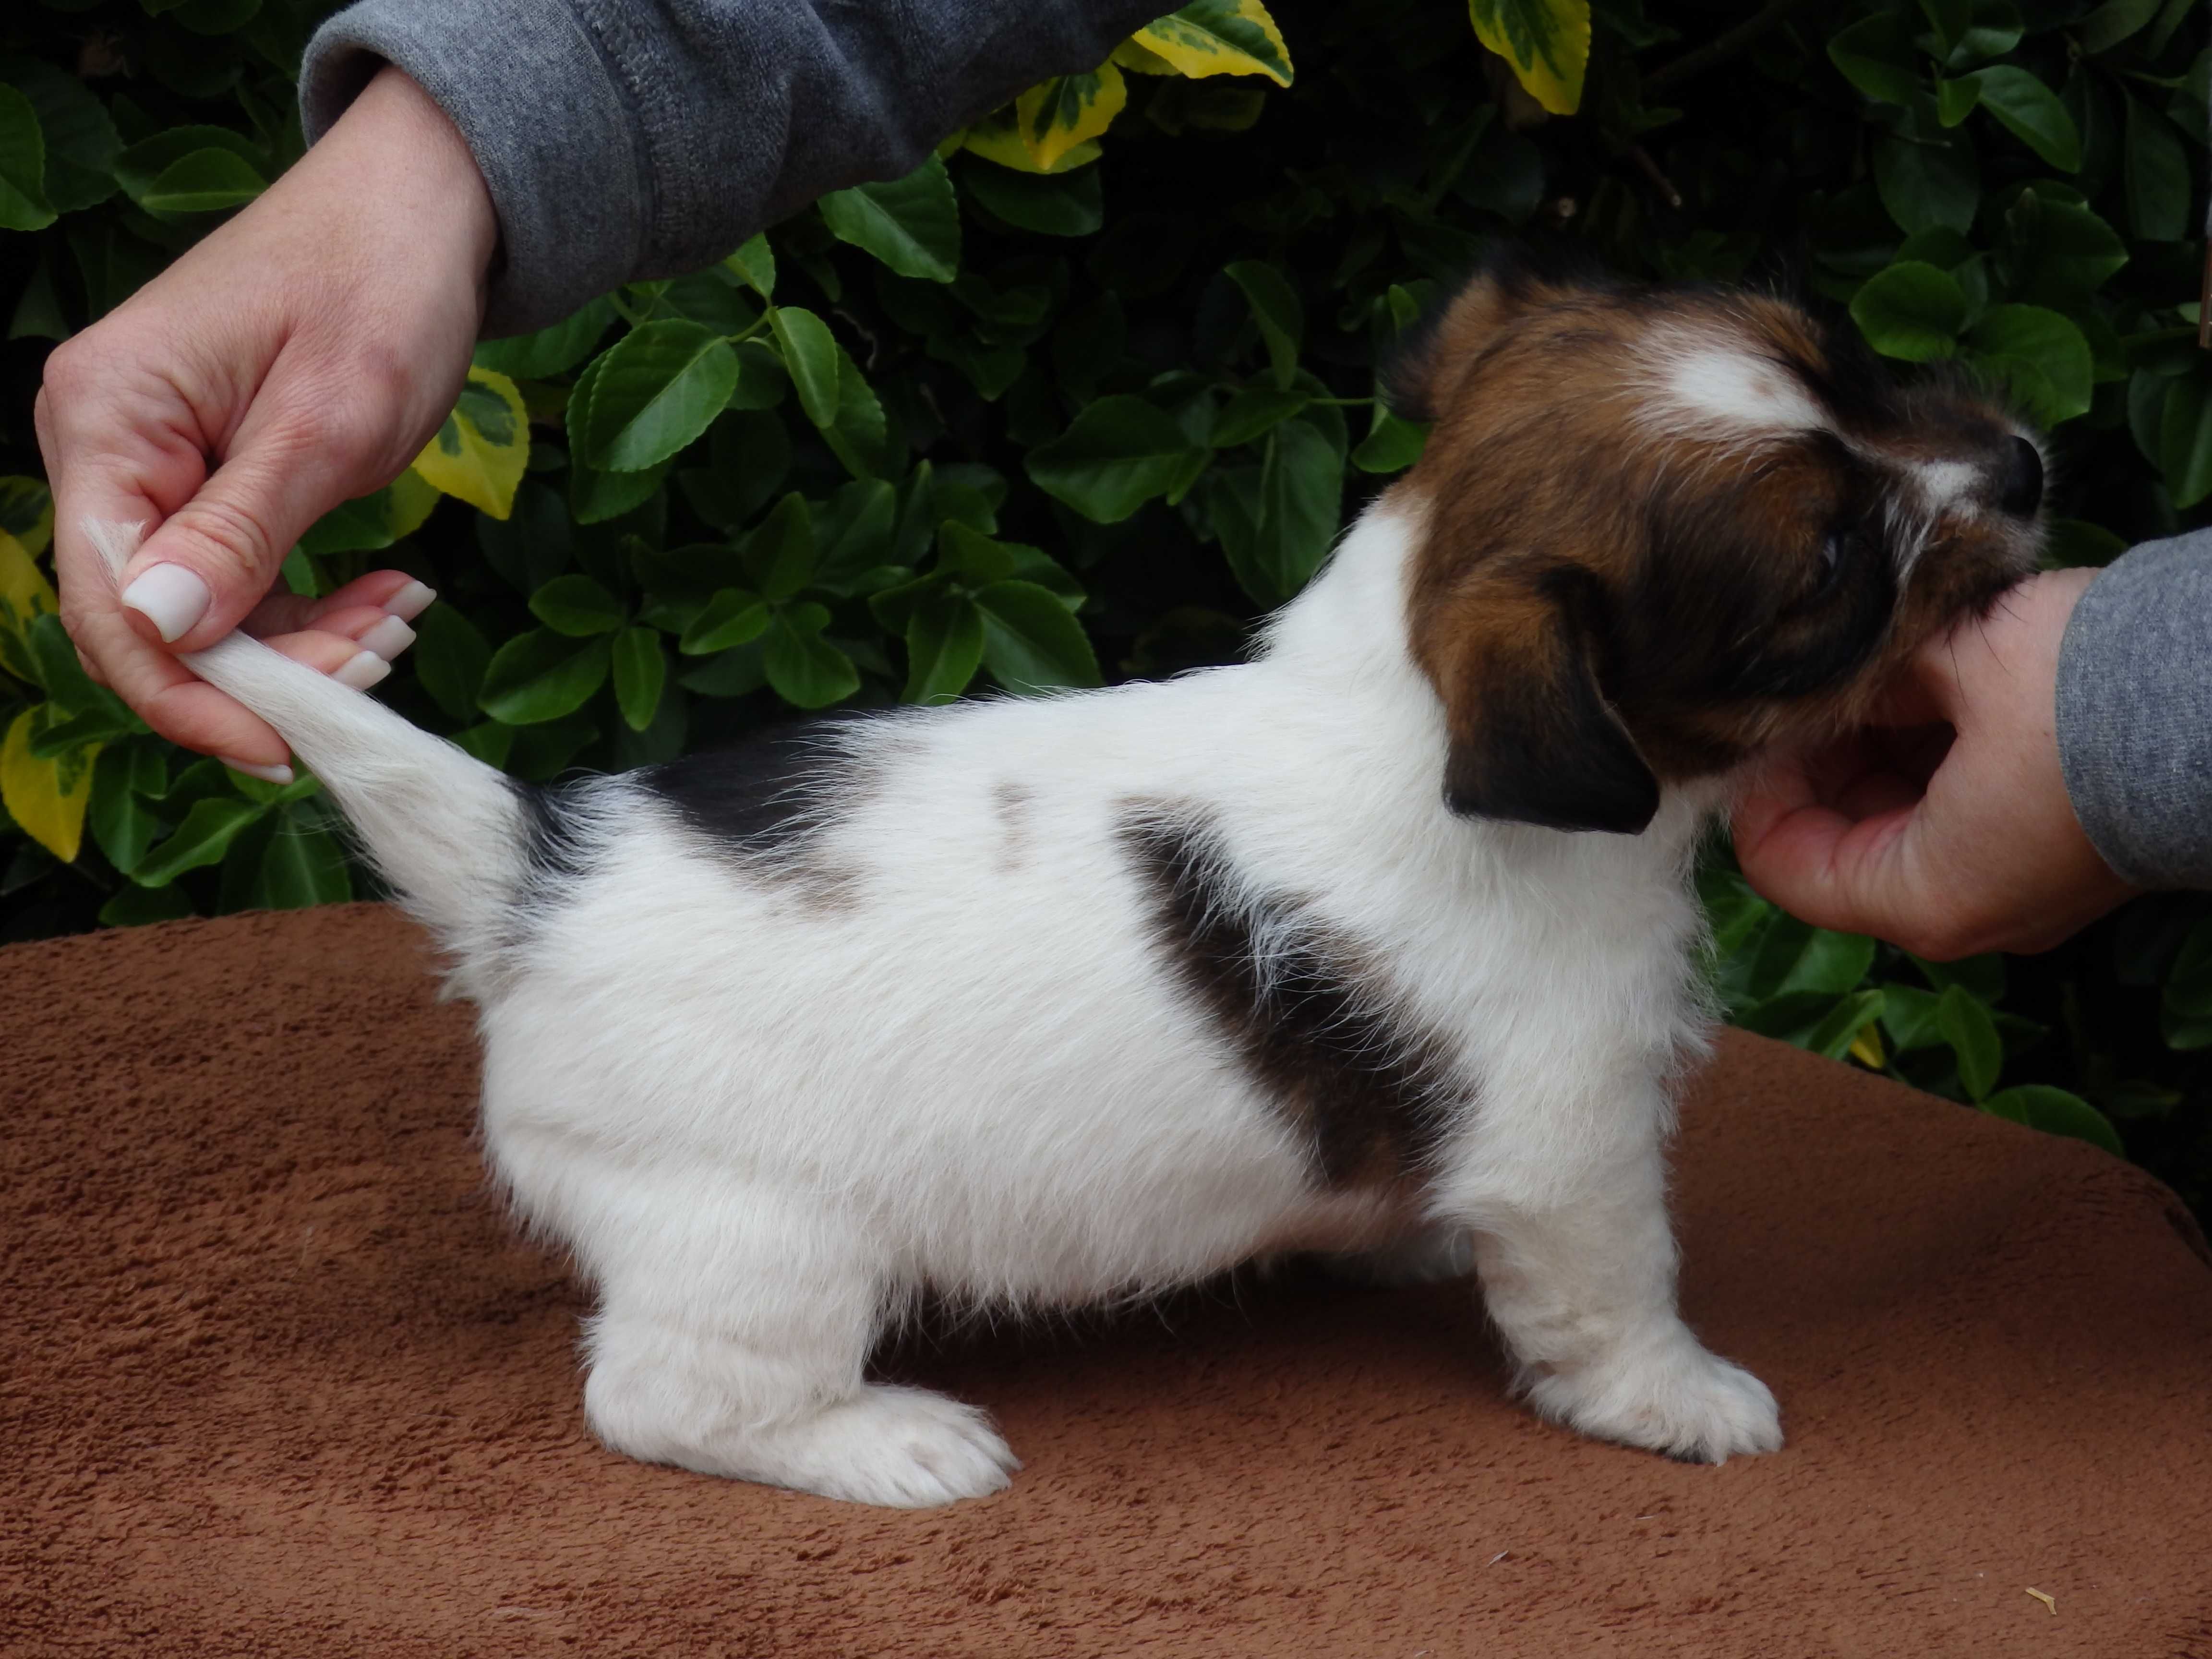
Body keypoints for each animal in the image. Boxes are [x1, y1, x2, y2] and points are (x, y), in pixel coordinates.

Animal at [99, 256, 2035, 1504]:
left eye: (1844, 361)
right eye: (1831, 570)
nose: (2023, 462)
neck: (1400, 702)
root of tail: (531, 867)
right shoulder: (1575, 1142)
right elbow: (1617, 1294)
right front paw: (1677, 1400)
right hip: (759, 1239)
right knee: (661, 1398)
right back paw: (886, 1442)